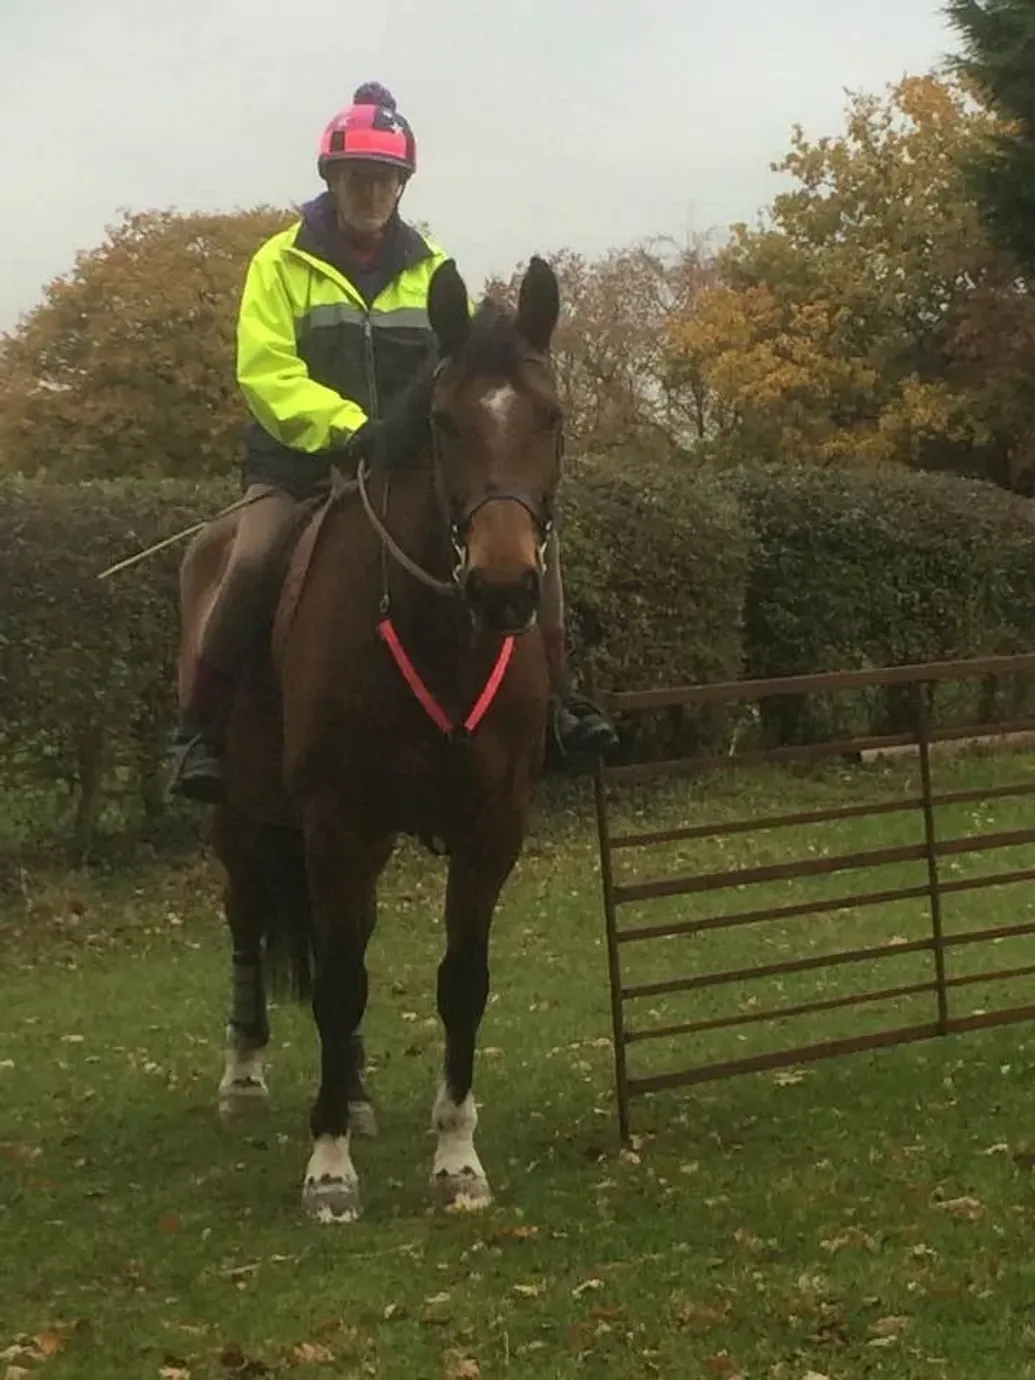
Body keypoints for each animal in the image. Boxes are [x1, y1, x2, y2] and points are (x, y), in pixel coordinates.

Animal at [177, 255, 564, 1222]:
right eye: (442, 421)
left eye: (550, 417)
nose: (505, 588)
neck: (438, 636)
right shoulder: (336, 823)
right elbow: (341, 982)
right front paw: (328, 1169)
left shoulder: (489, 832)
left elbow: (459, 984)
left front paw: (456, 1156)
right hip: (241, 820)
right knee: (250, 918)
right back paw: (246, 1077)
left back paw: (351, 1090)